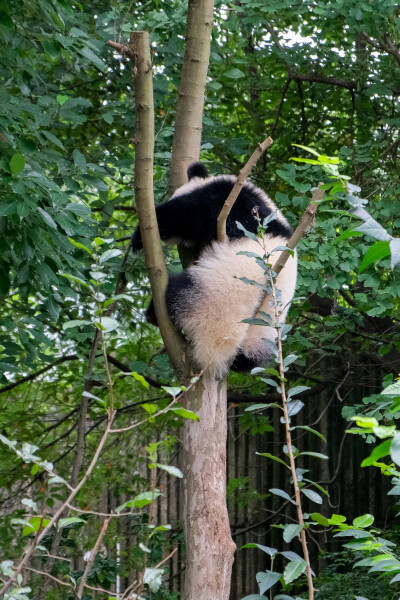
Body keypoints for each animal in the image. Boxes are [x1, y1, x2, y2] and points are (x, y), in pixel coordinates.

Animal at [132, 159, 296, 376]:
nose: (166, 237)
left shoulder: (229, 200)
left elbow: (189, 215)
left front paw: (139, 237)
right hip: (262, 329)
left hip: (216, 293)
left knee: (180, 292)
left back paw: (154, 313)